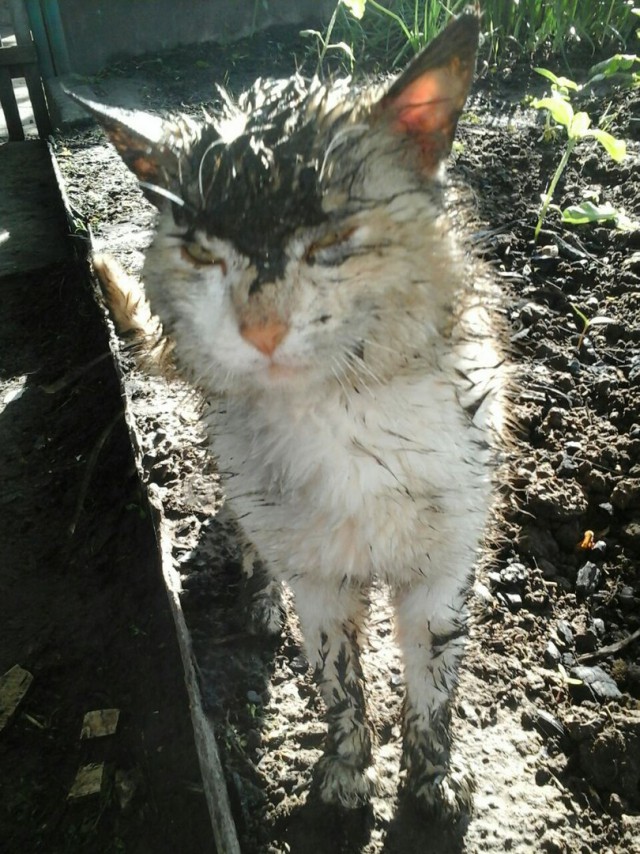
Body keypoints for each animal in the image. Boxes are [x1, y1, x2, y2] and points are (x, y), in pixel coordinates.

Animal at [71, 6, 504, 824]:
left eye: (332, 241)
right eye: (203, 256)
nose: (262, 328)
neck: (344, 420)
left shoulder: (442, 565)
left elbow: (434, 682)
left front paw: (433, 778)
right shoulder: (321, 579)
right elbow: (338, 680)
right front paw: (346, 775)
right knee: (250, 530)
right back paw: (260, 596)